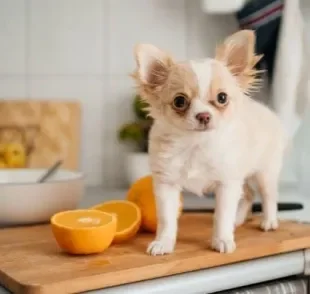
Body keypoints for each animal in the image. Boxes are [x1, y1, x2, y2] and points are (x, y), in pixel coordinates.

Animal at [132, 29, 286, 255]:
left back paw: (269, 221)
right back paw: (238, 220)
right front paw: (163, 242)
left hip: (264, 173)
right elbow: (167, 219)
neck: (196, 143)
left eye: (222, 98)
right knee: (248, 195)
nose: (203, 115)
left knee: (268, 196)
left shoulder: (226, 183)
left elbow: (221, 215)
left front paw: (222, 239)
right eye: (180, 101)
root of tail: (268, 111)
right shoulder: (166, 184)